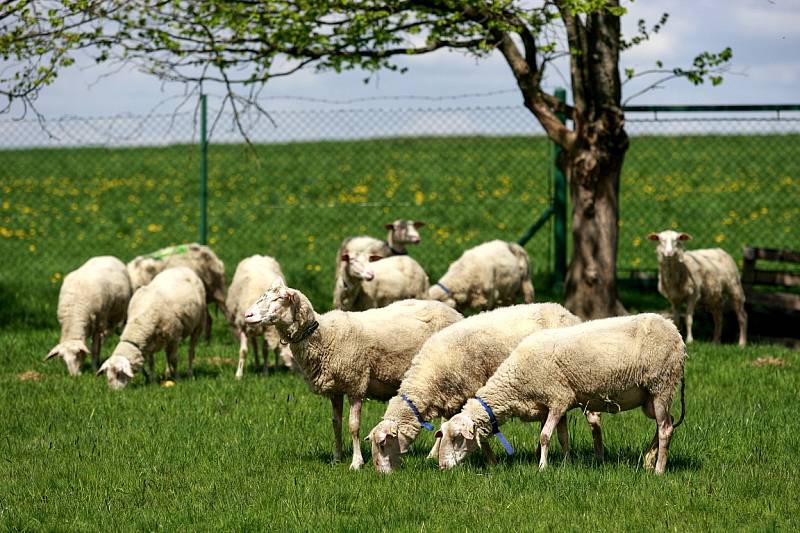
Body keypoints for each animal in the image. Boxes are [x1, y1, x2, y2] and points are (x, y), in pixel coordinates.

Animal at [242, 276, 462, 468]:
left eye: (279, 299)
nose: (247, 315)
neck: (322, 335)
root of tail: (455, 313)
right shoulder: (335, 389)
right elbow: (336, 424)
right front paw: (337, 457)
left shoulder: (355, 383)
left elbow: (353, 426)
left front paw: (356, 462)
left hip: (444, 373)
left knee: (445, 418)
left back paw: (433, 454)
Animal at [368, 302, 608, 472]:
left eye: (382, 444)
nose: (380, 474)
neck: (430, 375)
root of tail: (567, 313)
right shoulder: (453, 399)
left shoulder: (470, 390)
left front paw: (491, 462)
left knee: (593, 418)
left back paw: (598, 455)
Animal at [438, 312, 688, 474]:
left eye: (457, 438)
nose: (441, 467)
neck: (515, 383)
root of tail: (676, 333)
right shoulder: (559, 404)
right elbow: (563, 437)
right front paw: (566, 463)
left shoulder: (559, 398)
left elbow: (544, 436)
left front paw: (542, 467)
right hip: (649, 398)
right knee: (666, 422)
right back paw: (648, 460)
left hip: (661, 384)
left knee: (665, 428)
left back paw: (658, 470)